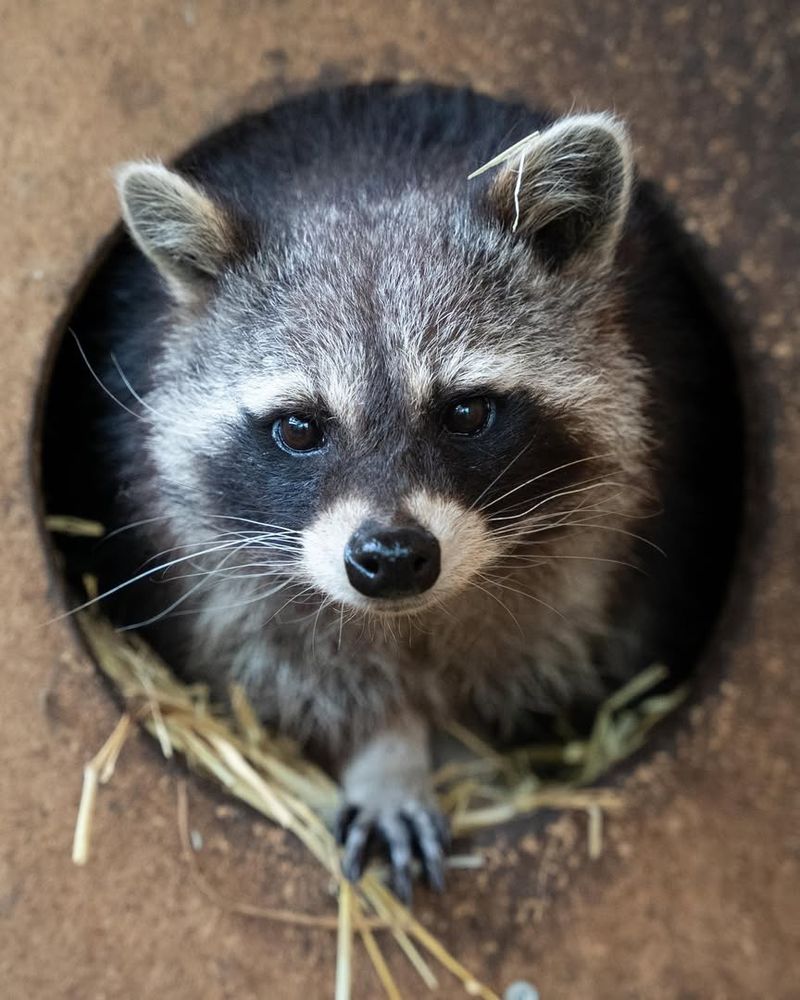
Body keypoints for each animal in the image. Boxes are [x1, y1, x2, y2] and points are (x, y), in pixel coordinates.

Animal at [49, 84, 740, 900]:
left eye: (467, 413)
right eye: (299, 427)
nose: (390, 557)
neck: (370, 175)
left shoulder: (603, 535)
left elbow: (534, 644)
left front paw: (457, 755)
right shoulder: (212, 557)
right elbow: (291, 658)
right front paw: (385, 756)